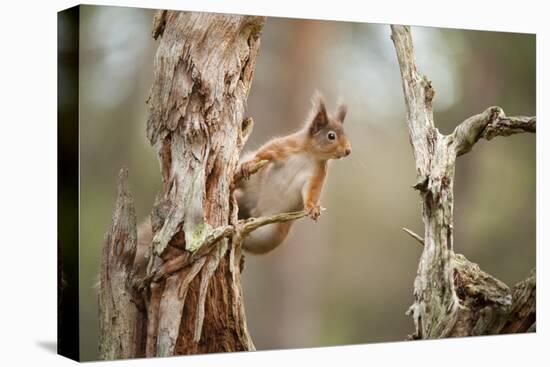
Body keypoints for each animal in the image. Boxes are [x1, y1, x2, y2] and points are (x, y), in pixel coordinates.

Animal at [235, 90, 352, 254]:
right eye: (331, 136)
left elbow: (312, 192)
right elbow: (265, 152)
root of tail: (254, 211)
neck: (310, 155)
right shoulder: (285, 146)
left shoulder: (317, 174)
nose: (348, 151)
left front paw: (313, 208)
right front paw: (250, 163)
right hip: (252, 183)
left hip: (270, 235)